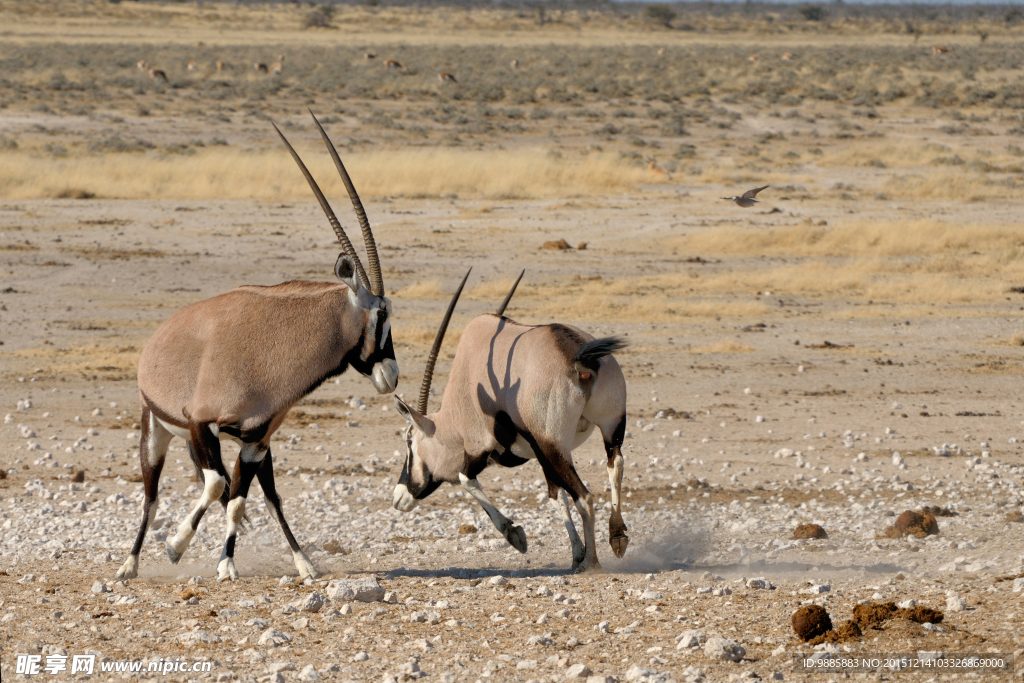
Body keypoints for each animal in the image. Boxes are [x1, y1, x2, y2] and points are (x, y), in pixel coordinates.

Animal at [114, 112, 397, 581]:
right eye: (382, 315)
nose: (391, 375)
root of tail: (157, 339)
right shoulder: (201, 423)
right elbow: (216, 486)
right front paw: (175, 547)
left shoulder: (255, 439)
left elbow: (238, 500)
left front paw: (226, 563)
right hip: (155, 429)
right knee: (152, 498)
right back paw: (129, 564)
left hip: (256, 449)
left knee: (265, 497)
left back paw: (304, 562)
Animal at [393, 272, 626, 573]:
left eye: (409, 440)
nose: (399, 497)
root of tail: (578, 359)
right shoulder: (541, 454)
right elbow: (556, 497)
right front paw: (575, 553)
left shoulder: (481, 448)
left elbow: (466, 480)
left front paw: (516, 535)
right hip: (607, 429)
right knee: (614, 464)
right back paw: (617, 537)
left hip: (553, 444)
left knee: (584, 497)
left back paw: (591, 563)